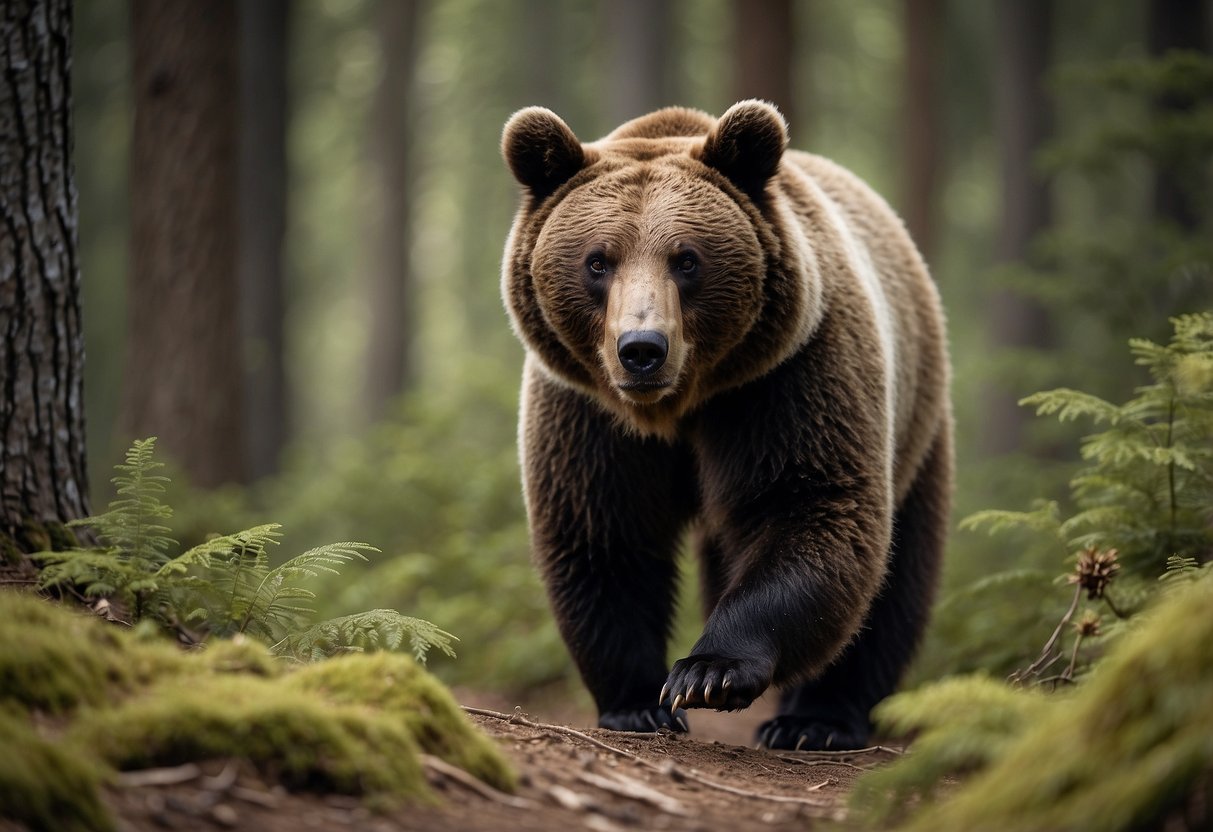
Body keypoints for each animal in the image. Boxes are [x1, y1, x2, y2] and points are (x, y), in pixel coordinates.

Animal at [497, 101, 950, 751]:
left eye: (686, 259)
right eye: (598, 261)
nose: (641, 349)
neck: (677, 407)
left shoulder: (786, 379)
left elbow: (809, 506)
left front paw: (707, 672)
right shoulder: (587, 413)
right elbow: (604, 532)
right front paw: (640, 704)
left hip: (916, 419)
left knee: (898, 576)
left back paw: (816, 720)